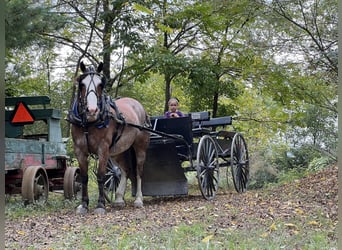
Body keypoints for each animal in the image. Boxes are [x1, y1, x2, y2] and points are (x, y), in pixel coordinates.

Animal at [68, 61, 150, 215]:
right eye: (82, 84)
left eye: (101, 84)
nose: (92, 110)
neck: (88, 123)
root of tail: (138, 105)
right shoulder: (79, 151)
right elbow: (84, 177)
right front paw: (84, 204)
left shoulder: (103, 149)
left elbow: (100, 176)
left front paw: (100, 205)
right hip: (118, 150)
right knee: (125, 170)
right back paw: (118, 199)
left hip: (140, 146)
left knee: (139, 170)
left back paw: (138, 199)